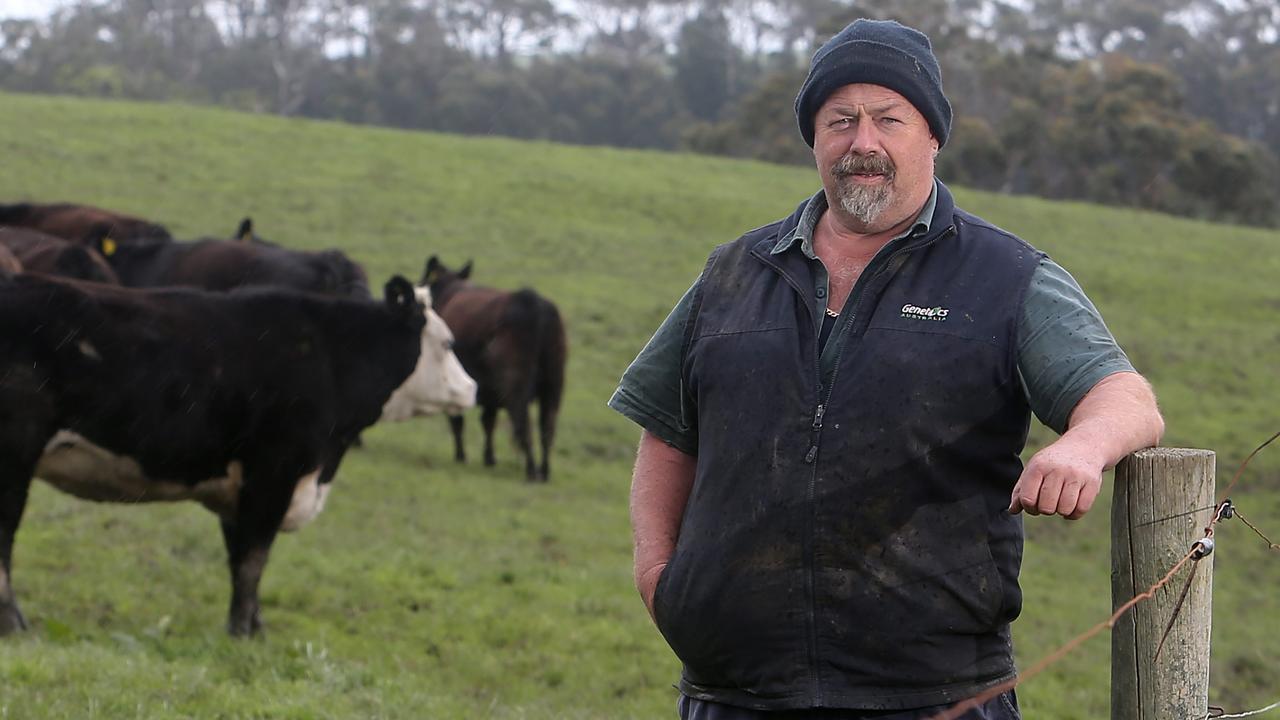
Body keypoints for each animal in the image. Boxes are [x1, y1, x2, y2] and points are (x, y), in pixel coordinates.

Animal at [0, 272, 476, 632]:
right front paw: (243, 631)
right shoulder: (273, 473)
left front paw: (255, 627)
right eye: (449, 344)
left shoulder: (239, 487)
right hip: (14, 454)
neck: (331, 355)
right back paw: (14, 623)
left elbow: (240, 559)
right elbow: (253, 558)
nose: (473, 389)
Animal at [419, 254, 565, 479]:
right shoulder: (490, 391)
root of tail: (536, 303)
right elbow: (488, 421)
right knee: (547, 428)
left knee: (523, 424)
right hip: (553, 385)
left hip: (517, 384)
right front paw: (489, 458)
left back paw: (531, 470)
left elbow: (458, 419)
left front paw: (461, 456)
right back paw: (544, 471)